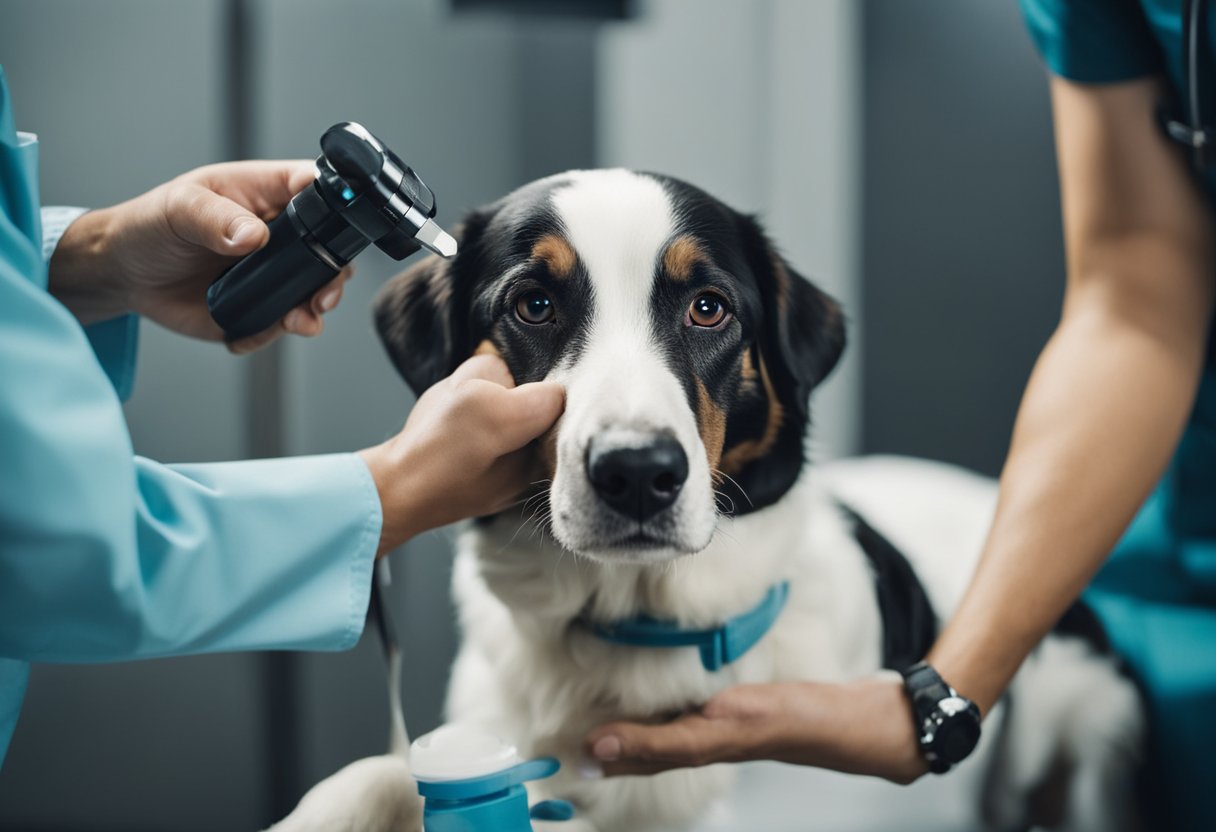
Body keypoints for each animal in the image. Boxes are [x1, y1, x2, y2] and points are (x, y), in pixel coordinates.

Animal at [276, 170, 1138, 832]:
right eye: (534, 305)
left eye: (708, 307)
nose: (636, 473)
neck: (635, 628)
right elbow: (391, 769)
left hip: (1092, 724)